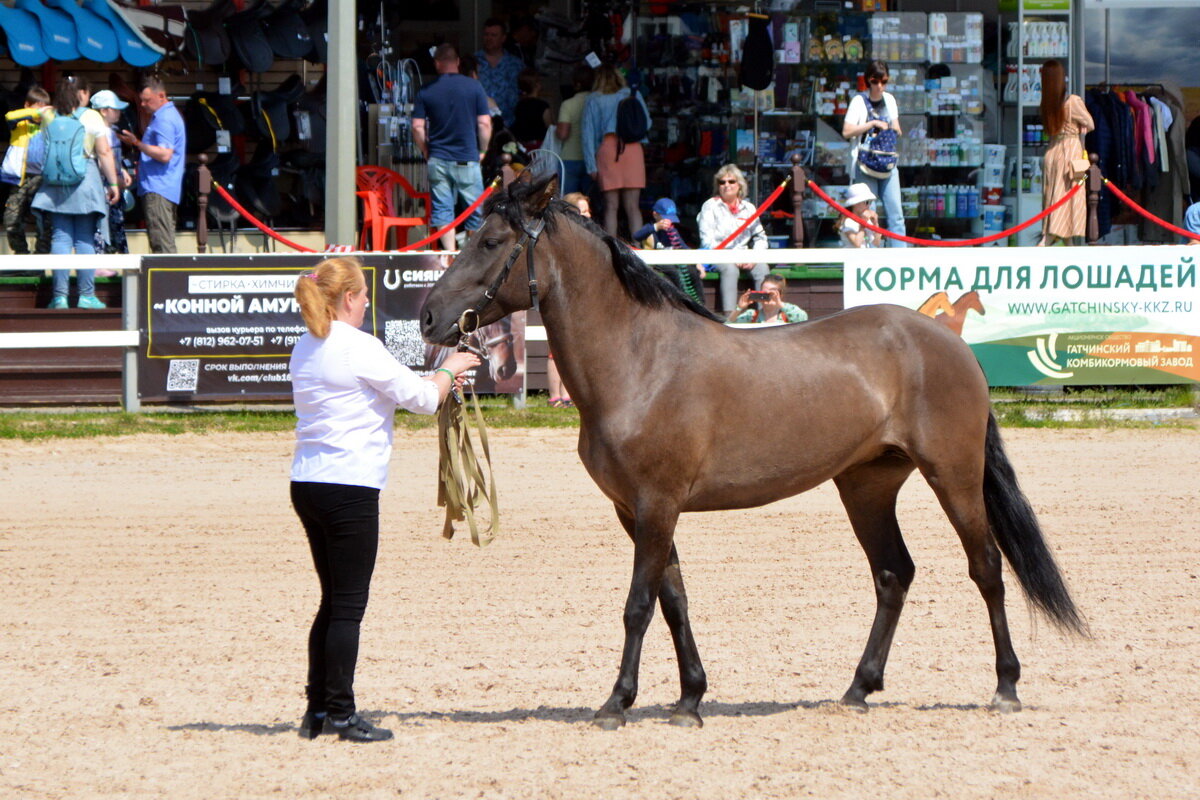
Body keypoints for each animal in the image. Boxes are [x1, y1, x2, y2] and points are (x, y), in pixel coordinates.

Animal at [417, 175, 1084, 734]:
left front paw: (616, 703)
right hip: (867, 485)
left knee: (987, 569)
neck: (639, 359)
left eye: (491, 240)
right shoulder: (637, 512)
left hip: (954, 476)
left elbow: (638, 605)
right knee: (894, 574)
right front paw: (689, 699)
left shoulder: (657, 505)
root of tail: (947, 342)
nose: (427, 317)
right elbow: (674, 601)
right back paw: (858, 689)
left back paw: (1005, 687)